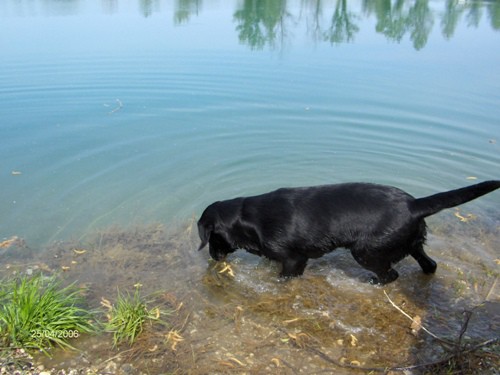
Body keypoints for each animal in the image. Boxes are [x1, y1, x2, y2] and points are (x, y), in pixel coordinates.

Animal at [197, 182, 498, 284]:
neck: (248, 218)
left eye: (210, 238)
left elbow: (284, 277)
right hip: (412, 244)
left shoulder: (294, 260)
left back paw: (372, 283)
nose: (212, 258)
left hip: (366, 251)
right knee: (430, 264)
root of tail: (414, 205)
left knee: (390, 275)